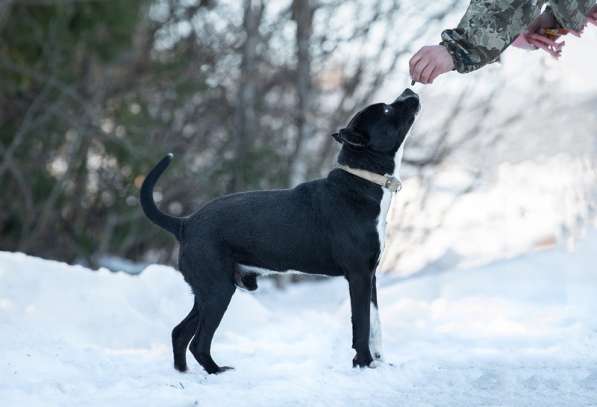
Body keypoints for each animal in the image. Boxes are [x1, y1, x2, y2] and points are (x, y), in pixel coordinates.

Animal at [140, 87, 420, 374]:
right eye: (386, 109)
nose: (410, 90)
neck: (361, 181)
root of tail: (185, 223)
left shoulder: (369, 276)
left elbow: (375, 325)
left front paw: (378, 363)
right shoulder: (358, 276)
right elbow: (362, 326)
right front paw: (363, 363)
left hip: (206, 292)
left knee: (179, 333)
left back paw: (184, 372)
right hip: (218, 290)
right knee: (198, 342)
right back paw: (217, 370)